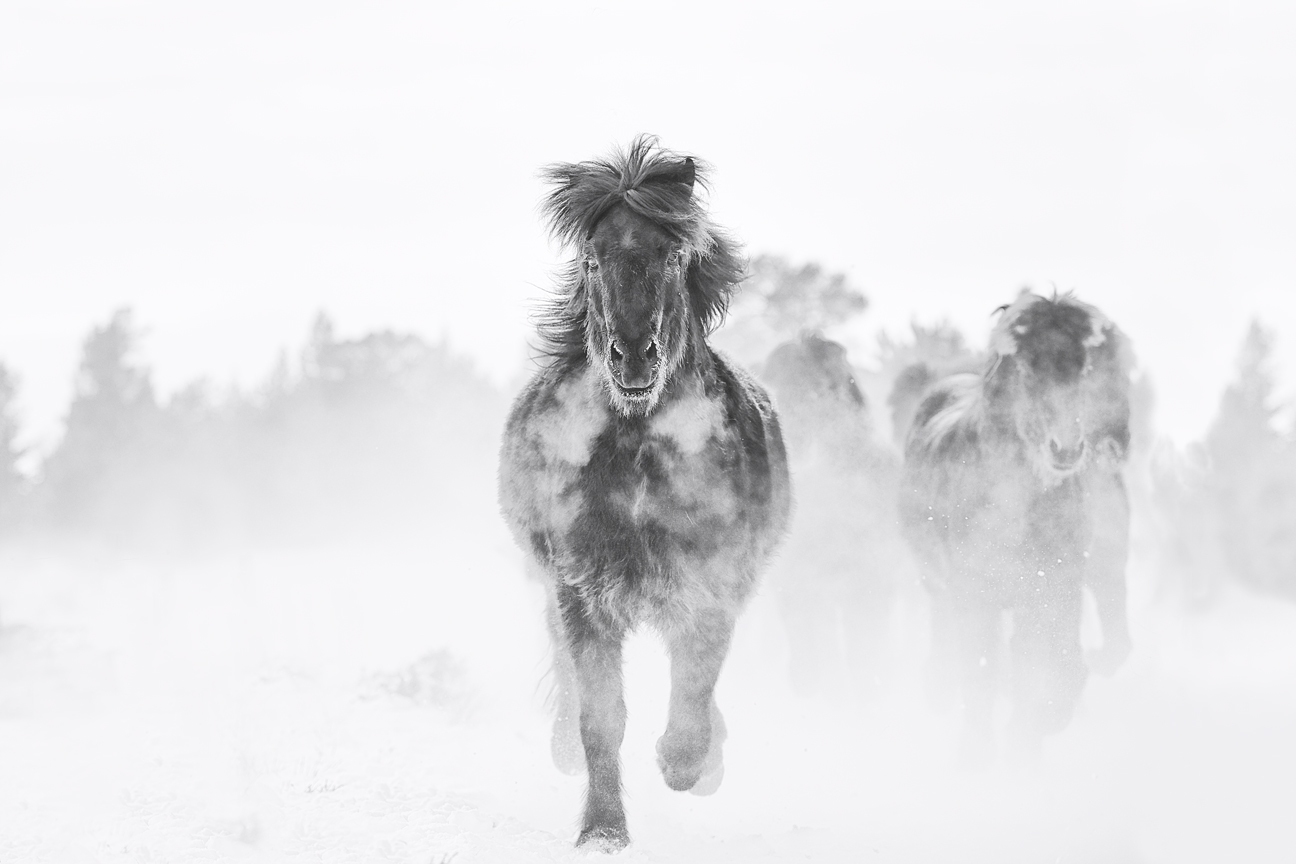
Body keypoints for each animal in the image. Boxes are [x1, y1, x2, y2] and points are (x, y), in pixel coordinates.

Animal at [498, 136, 791, 850]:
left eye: (675, 255)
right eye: (592, 258)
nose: (633, 355)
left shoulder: (710, 585)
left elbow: (694, 687)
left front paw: (690, 764)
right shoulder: (582, 592)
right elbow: (600, 716)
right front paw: (603, 830)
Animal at [898, 289, 1133, 763]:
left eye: (1084, 368)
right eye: (1025, 368)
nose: (1066, 448)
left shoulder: (1056, 587)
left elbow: (1056, 667)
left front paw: (1030, 735)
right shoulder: (975, 591)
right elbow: (982, 670)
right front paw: (978, 752)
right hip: (939, 582)